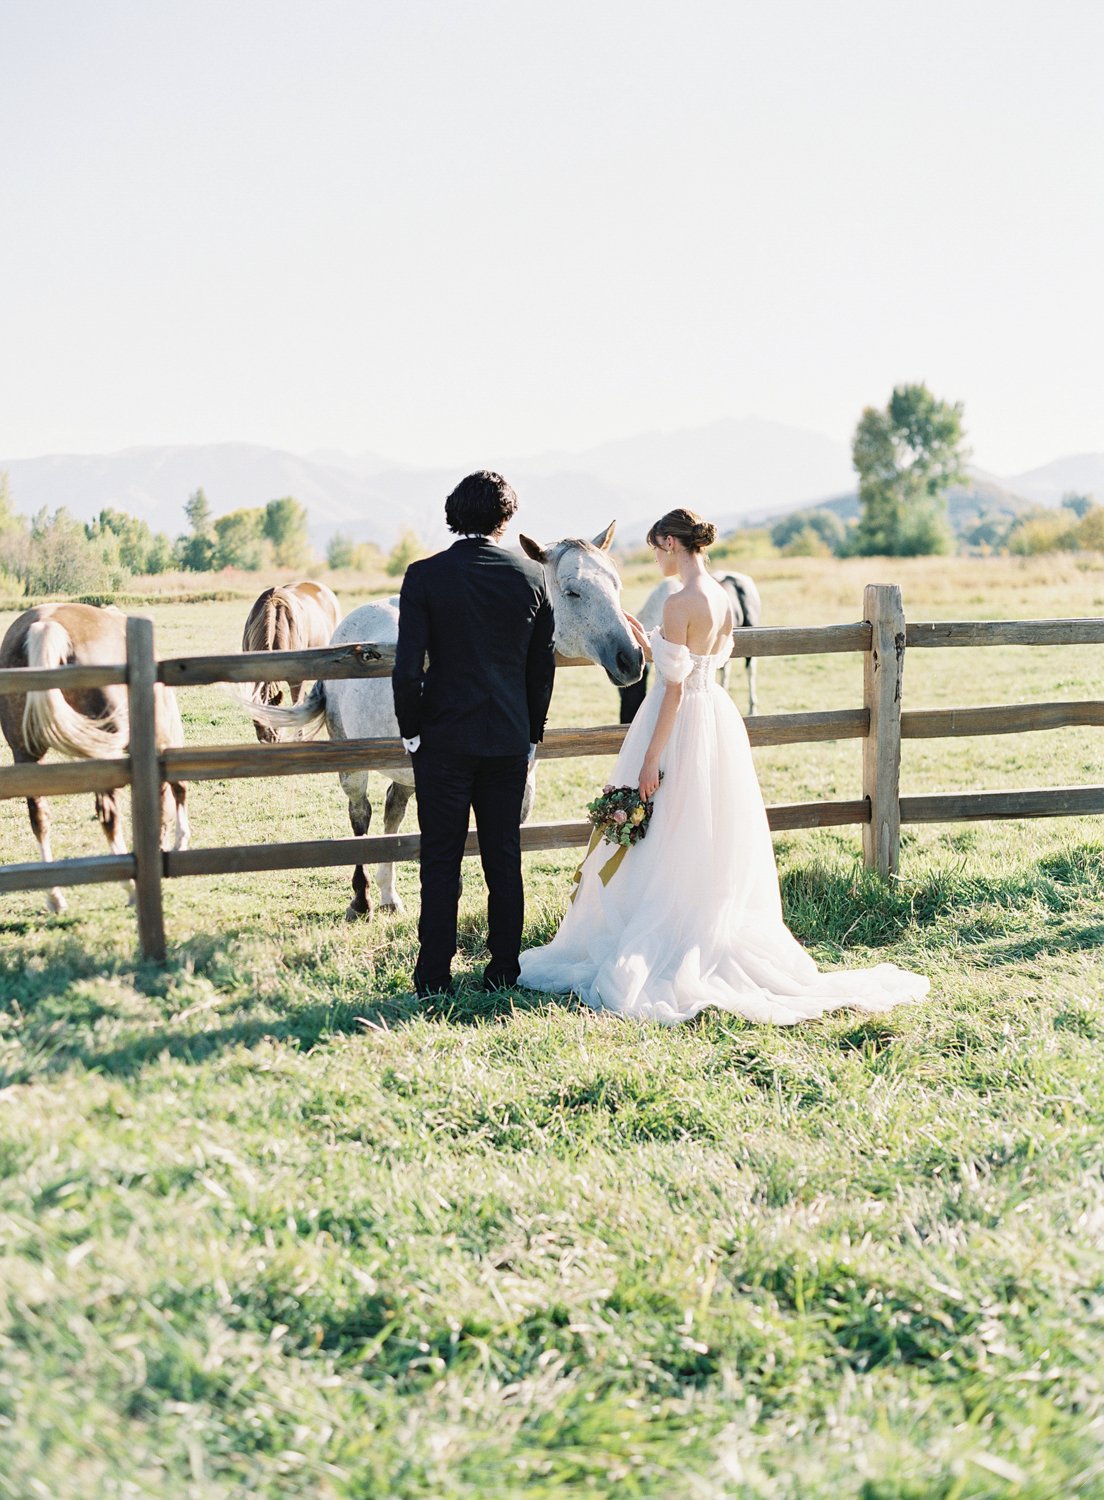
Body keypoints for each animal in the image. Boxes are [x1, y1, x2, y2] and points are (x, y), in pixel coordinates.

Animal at [0, 600, 189, 906]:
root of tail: (47, 625)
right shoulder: (164, 736)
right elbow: (176, 788)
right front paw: (180, 840)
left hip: (26, 755)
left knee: (39, 817)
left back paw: (55, 896)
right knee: (109, 815)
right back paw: (131, 887)